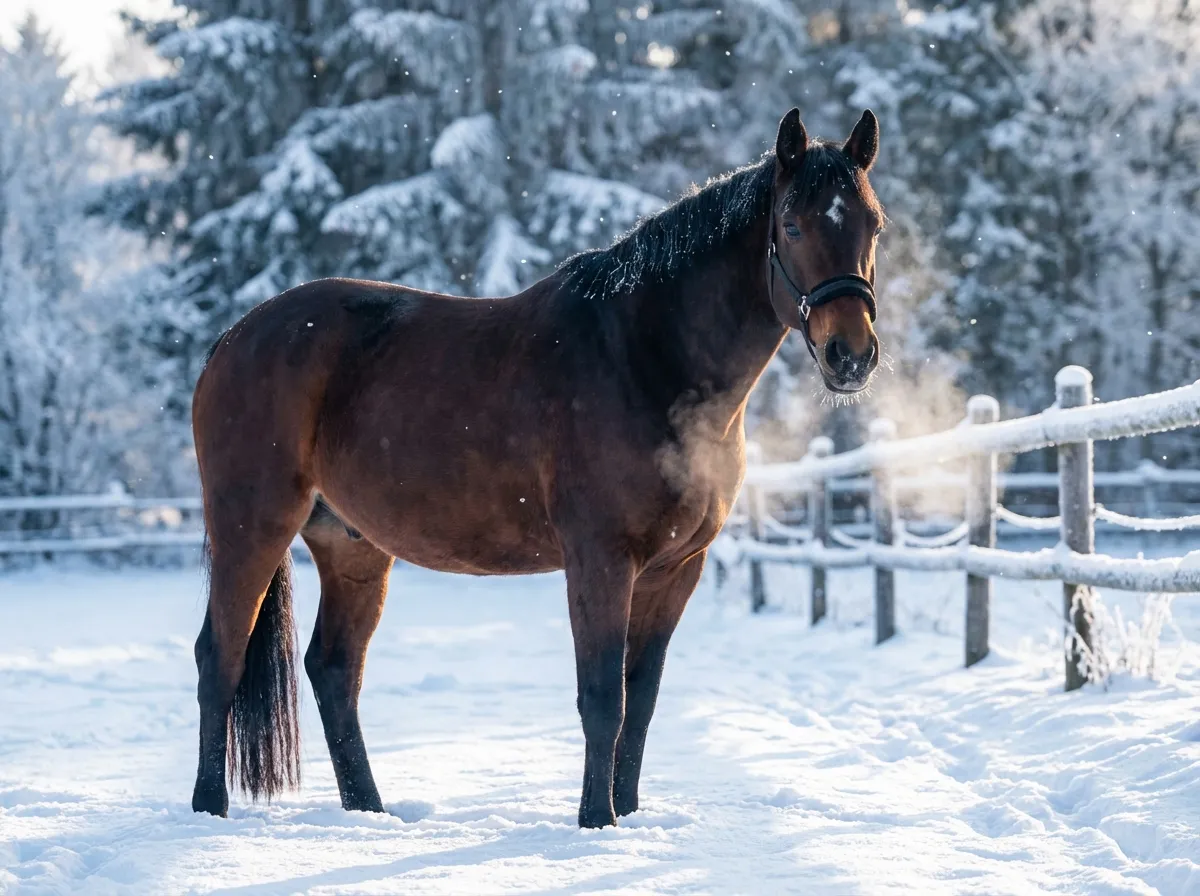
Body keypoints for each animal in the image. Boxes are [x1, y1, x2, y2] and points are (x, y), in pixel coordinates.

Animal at [190, 108, 885, 828]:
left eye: (874, 225)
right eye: (793, 225)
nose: (851, 354)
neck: (643, 357)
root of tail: (233, 338)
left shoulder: (675, 569)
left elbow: (642, 700)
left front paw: (627, 816)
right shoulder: (600, 559)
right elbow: (602, 698)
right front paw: (596, 821)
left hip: (352, 545)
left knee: (333, 669)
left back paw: (371, 814)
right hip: (254, 525)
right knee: (222, 656)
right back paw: (210, 808)